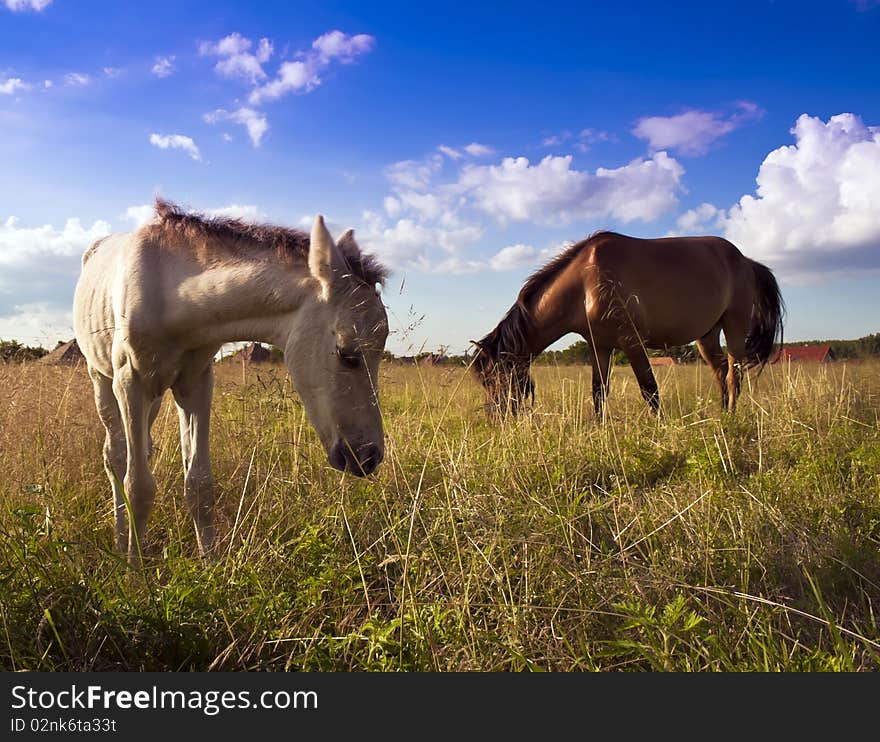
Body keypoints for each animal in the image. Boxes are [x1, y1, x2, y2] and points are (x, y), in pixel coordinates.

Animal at [69, 201, 384, 568]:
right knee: (116, 456)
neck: (170, 292)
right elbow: (138, 485)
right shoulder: (130, 383)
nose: (368, 457)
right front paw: (136, 569)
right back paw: (122, 542)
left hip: (155, 397)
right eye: (347, 354)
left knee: (142, 446)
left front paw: (210, 565)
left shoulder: (196, 384)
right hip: (104, 380)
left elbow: (199, 484)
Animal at [470, 232, 788, 418]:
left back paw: (731, 416)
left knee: (734, 375)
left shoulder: (632, 343)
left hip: (734, 327)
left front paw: (661, 427)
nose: (495, 417)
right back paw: (722, 414)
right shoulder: (599, 347)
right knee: (721, 371)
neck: (585, 282)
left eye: (493, 378)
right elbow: (598, 392)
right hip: (707, 335)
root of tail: (747, 261)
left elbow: (650, 389)